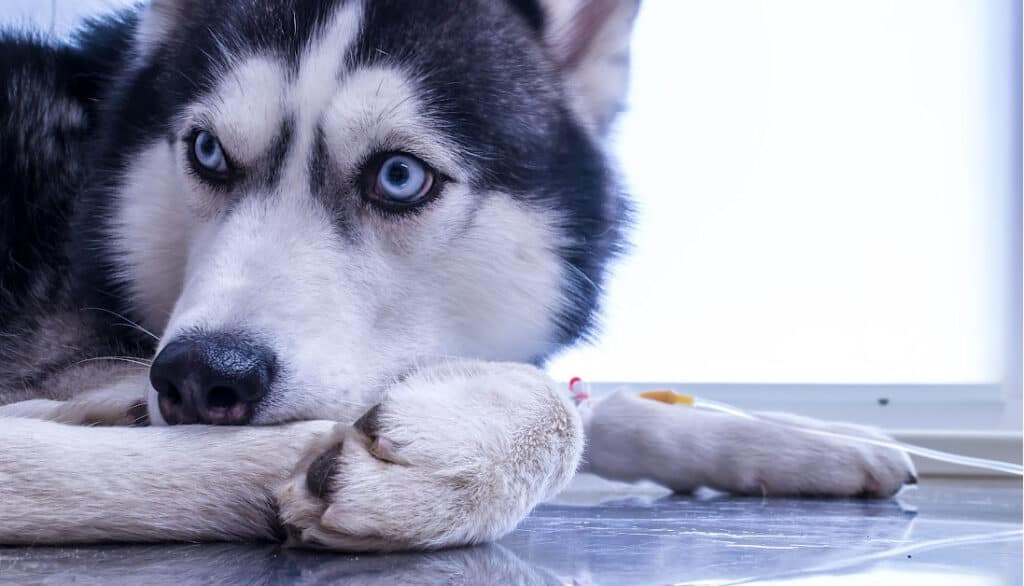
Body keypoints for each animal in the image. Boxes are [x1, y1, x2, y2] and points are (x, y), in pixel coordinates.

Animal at [0, 0, 913, 549]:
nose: (197, 377)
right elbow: (560, 412)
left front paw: (805, 441)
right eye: (209, 152)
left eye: (399, 176)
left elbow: (597, 403)